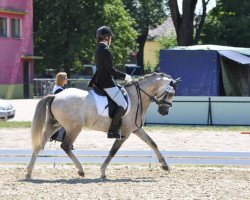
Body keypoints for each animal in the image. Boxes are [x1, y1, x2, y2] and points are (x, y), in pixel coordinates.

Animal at [25, 72, 180, 179]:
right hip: (74, 128)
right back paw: (81, 170)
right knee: (65, 146)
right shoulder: (125, 133)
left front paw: (165, 165)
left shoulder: (136, 129)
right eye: (171, 93)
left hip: (55, 125)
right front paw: (103, 171)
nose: (164, 111)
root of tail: (55, 96)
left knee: (39, 145)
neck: (137, 97)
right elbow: (113, 151)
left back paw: (29, 172)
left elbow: (152, 143)